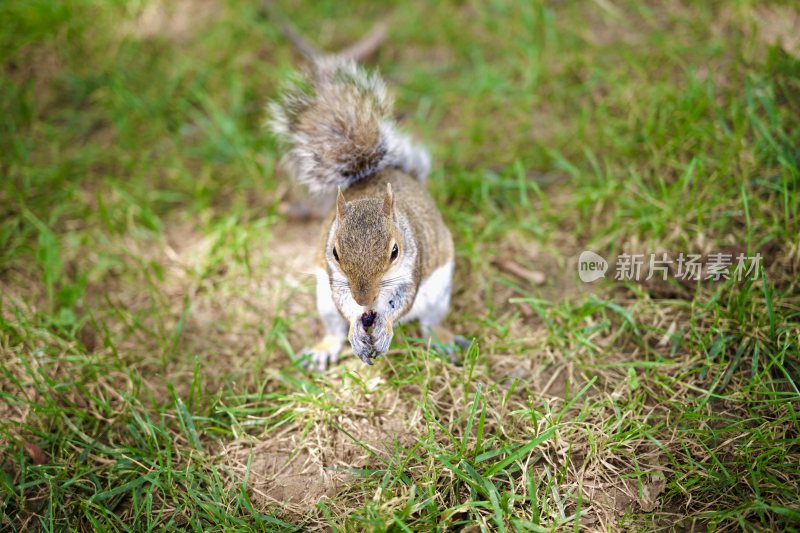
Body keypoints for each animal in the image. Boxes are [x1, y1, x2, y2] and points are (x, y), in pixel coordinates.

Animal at [266, 7, 466, 370]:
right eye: (334, 251)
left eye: (395, 251)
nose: (365, 299)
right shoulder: (335, 280)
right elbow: (345, 306)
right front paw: (354, 330)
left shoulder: (411, 272)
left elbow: (401, 302)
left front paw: (384, 327)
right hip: (322, 299)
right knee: (332, 325)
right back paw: (325, 347)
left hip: (439, 292)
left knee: (430, 322)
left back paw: (442, 339)